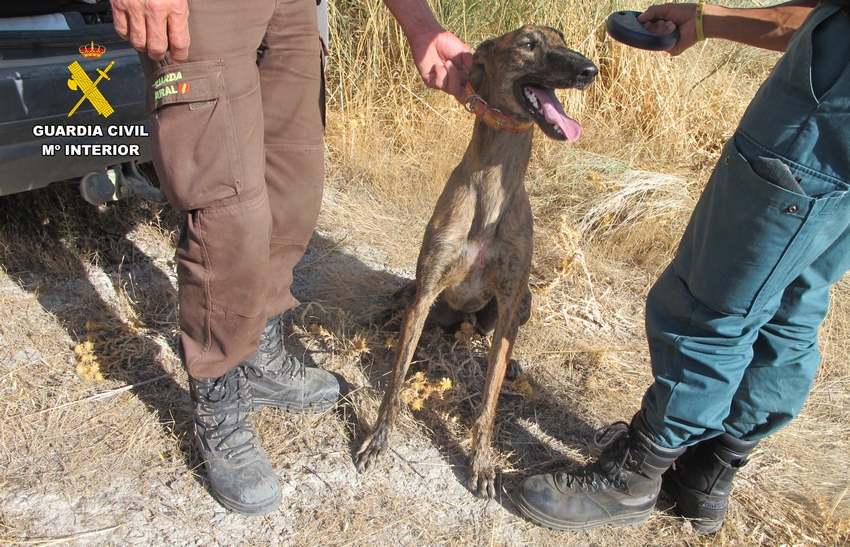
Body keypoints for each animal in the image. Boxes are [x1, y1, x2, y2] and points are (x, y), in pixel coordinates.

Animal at [352, 25, 596, 498]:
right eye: (528, 43)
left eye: (562, 38)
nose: (589, 69)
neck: (492, 193)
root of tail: (459, 322)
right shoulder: (428, 286)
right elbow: (395, 382)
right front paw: (378, 439)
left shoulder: (510, 299)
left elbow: (489, 401)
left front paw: (481, 462)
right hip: (415, 293)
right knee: (400, 306)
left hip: (520, 305)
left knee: (492, 339)